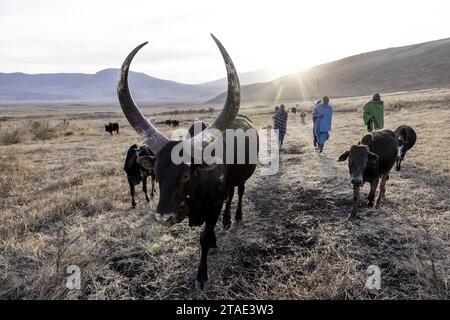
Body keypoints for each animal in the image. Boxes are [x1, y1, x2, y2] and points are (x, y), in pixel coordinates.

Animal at [116, 34, 258, 290]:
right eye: (157, 174)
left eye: (185, 175)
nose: (163, 217)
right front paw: (213, 243)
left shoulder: (213, 206)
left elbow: (203, 237)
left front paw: (202, 276)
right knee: (231, 194)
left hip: (242, 178)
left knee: (239, 192)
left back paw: (236, 217)